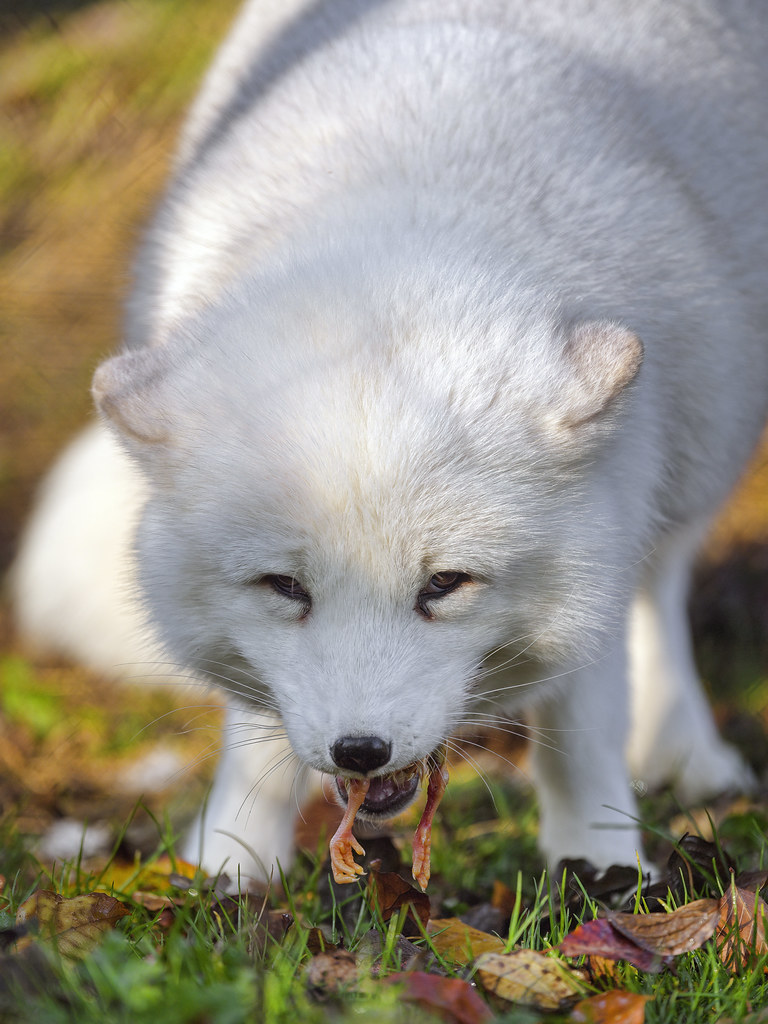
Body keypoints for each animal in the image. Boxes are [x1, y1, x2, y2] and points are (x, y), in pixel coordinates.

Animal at [11, 0, 768, 884]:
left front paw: (602, 866)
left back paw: (682, 747)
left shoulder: (605, 545)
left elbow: (580, 732)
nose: (360, 751)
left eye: (445, 584)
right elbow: (259, 744)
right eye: (284, 587)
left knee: (661, 582)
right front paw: (229, 869)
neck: (409, 208)